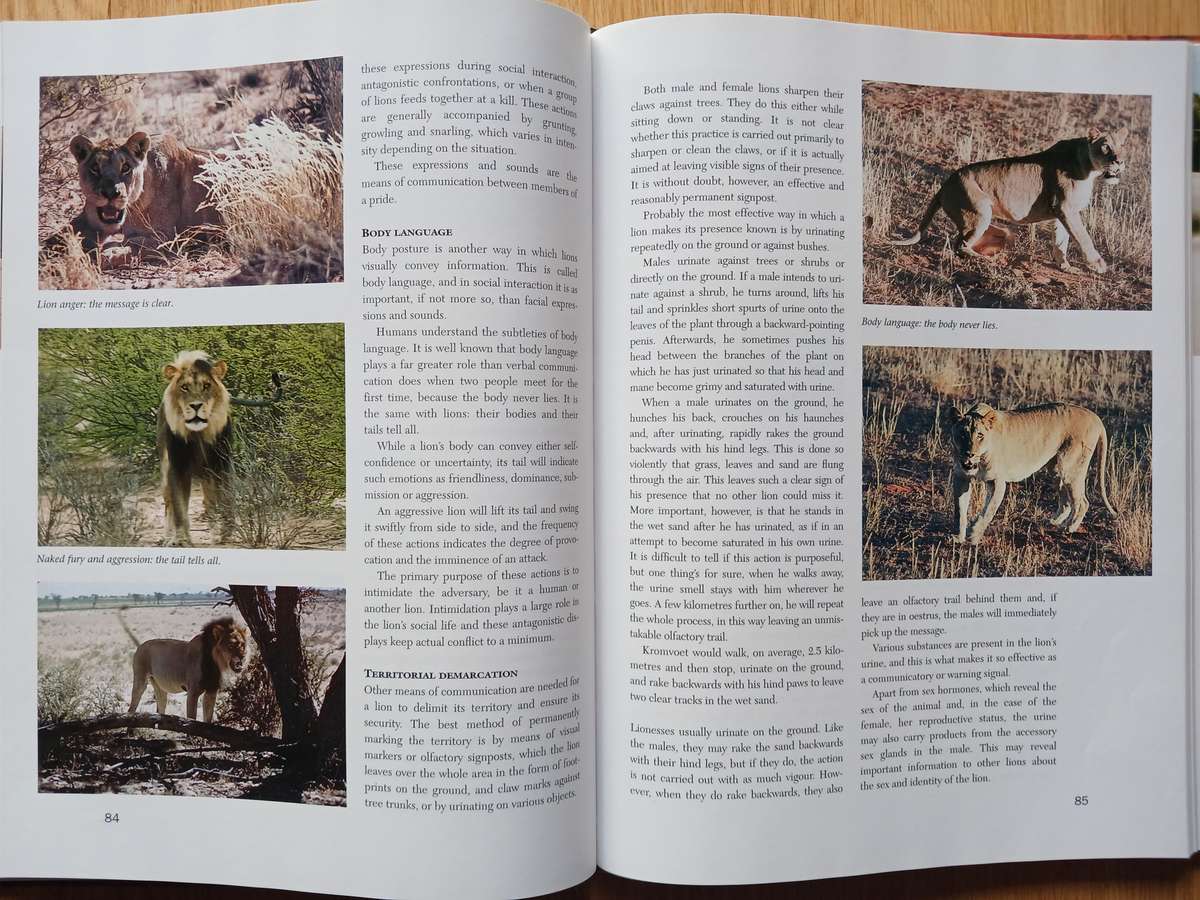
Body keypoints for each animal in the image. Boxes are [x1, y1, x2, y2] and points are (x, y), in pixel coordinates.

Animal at [66, 131, 221, 252]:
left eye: (125, 168)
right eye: (95, 168)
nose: (111, 193)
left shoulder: (166, 237)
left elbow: (128, 241)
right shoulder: (89, 217)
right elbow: (67, 230)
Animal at [890, 126, 1129, 273]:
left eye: (1122, 146)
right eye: (1106, 146)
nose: (1120, 161)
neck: (1091, 170)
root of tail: (943, 185)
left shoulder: (1062, 213)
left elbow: (1062, 242)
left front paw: (1066, 266)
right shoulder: (1065, 208)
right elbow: (1084, 238)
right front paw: (1099, 264)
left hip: (990, 226)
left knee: (981, 238)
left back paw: (995, 251)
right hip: (979, 211)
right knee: (960, 246)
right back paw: (987, 261)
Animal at [946, 401, 1116, 545]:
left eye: (980, 435)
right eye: (962, 434)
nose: (969, 454)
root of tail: (1094, 416)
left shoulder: (997, 482)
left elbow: (988, 511)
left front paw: (974, 536)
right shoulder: (961, 477)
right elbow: (960, 510)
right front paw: (958, 537)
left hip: (1070, 468)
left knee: (1082, 502)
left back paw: (1069, 527)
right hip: (1055, 469)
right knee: (1067, 501)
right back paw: (1054, 522)